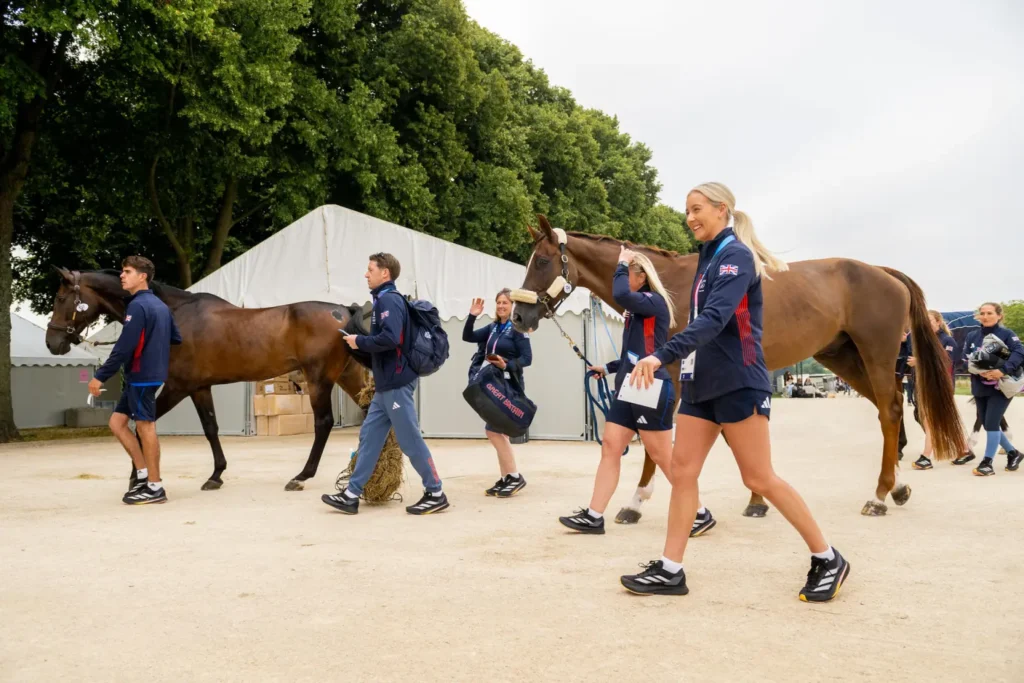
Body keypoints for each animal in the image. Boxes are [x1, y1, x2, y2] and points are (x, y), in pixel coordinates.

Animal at [44, 268, 370, 491]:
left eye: (60, 298)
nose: (52, 343)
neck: (174, 314)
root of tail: (343, 311)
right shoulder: (200, 388)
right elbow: (211, 428)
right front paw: (216, 475)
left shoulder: (177, 387)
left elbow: (140, 430)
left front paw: (136, 479)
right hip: (348, 377)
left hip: (319, 381)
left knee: (324, 423)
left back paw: (302, 476)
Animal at [511, 215, 965, 521]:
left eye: (543, 262)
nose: (517, 316)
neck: (664, 287)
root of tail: (883, 273)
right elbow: (732, 438)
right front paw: (757, 499)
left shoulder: (671, 377)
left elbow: (660, 437)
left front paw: (637, 501)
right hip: (843, 358)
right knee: (887, 411)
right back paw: (897, 488)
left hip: (875, 355)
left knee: (890, 411)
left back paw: (879, 495)